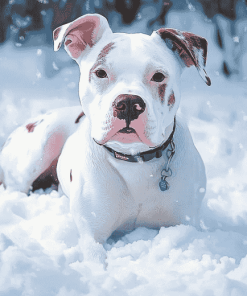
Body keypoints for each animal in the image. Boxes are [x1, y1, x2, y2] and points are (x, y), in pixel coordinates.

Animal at [0, 13, 211, 264]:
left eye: (158, 76)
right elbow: (96, 259)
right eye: (101, 73)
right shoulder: (92, 236)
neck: (134, 161)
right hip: (42, 144)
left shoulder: (183, 224)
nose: (128, 103)